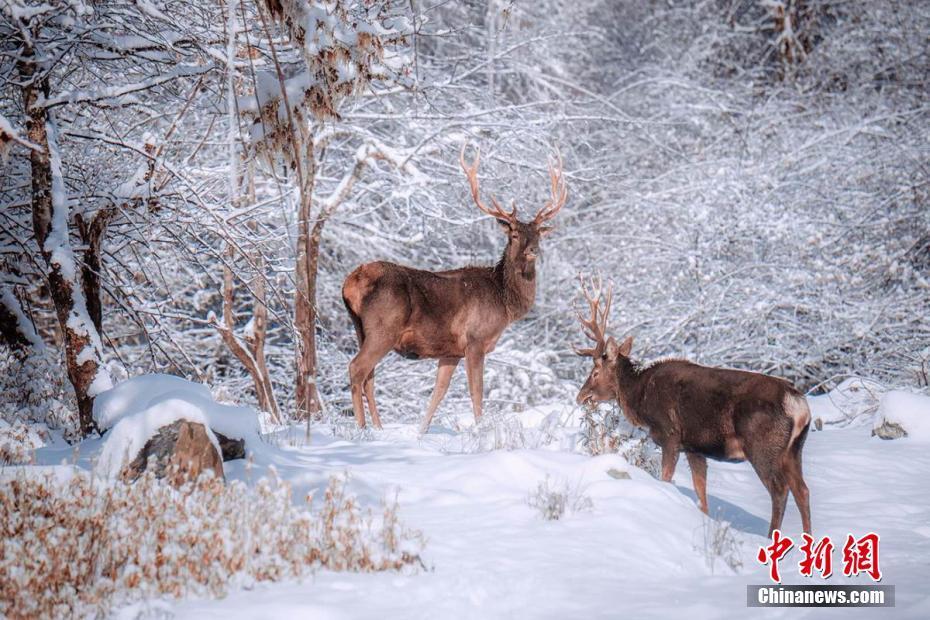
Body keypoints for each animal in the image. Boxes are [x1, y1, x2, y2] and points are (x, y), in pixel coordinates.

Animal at [340, 147, 564, 432]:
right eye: (513, 234)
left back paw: (378, 429)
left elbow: (438, 393)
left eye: (537, 234)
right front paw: (480, 431)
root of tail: (352, 281)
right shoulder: (475, 339)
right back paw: (362, 429)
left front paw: (421, 433)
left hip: (360, 328)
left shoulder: (450, 351)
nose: (533, 249)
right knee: (357, 368)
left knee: (369, 376)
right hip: (383, 327)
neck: (504, 302)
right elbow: (476, 392)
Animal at [568, 276, 808, 536]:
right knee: (802, 490)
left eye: (595, 372)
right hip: (793, 450)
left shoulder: (670, 435)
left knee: (780, 490)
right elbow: (701, 496)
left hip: (763, 447)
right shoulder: (695, 448)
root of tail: (799, 405)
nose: (580, 397)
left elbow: (666, 479)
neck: (640, 398)